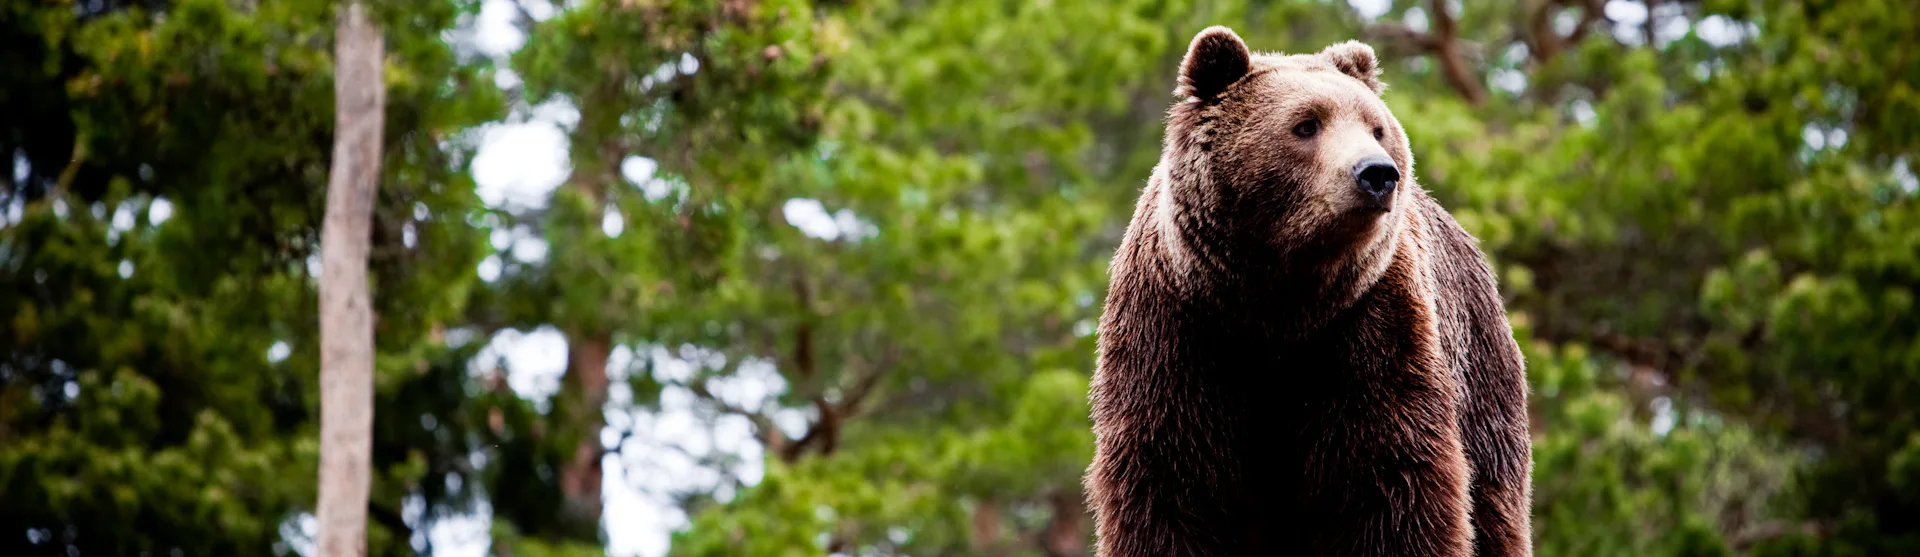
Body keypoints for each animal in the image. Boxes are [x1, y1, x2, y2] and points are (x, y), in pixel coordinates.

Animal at [1084, 26, 1533, 557]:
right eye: (1305, 124)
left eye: (1376, 128)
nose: (1378, 173)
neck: (1279, 300)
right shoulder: (1177, 332)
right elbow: (1169, 484)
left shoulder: (1371, 327)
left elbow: (1394, 482)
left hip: (1481, 378)